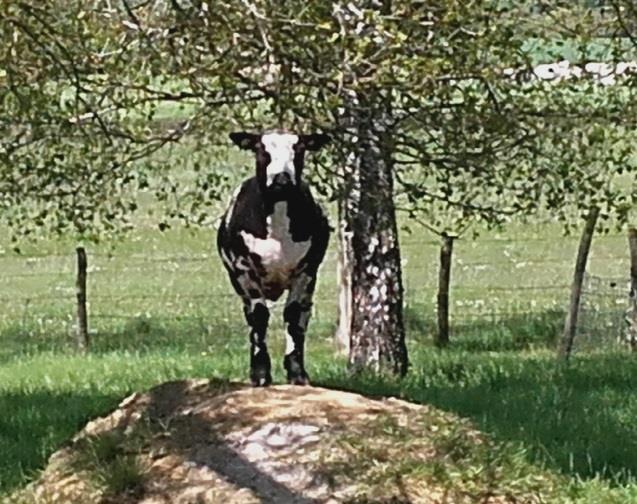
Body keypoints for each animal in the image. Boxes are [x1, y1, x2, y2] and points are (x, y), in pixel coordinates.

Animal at [217, 130, 330, 386]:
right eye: (261, 149)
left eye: (300, 149)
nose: (282, 178)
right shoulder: (244, 268)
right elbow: (259, 317)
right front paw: (260, 373)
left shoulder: (306, 270)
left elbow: (294, 315)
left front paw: (297, 373)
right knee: (251, 317)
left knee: (304, 316)